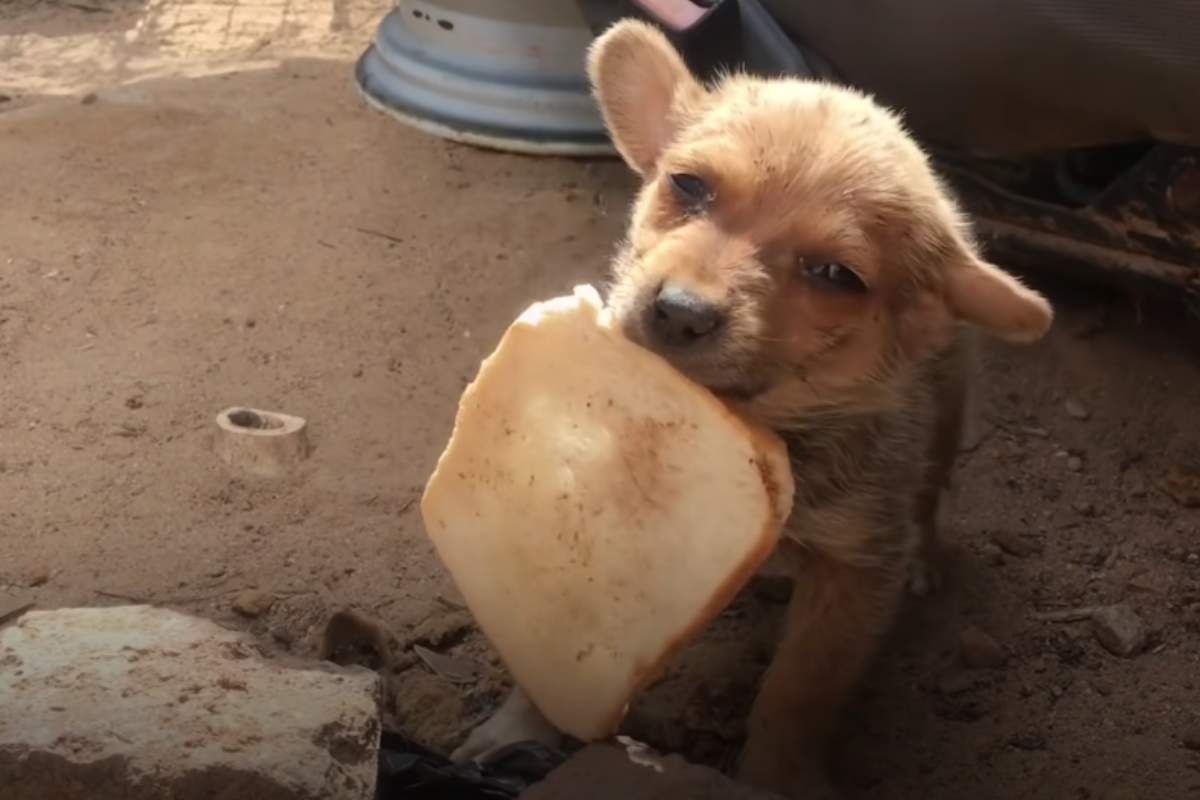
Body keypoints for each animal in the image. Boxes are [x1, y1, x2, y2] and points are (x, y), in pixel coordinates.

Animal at [451, 20, 1051, 800]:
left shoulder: (854, 571)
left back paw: (927, 558)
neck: (765, 423)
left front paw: (777, 775)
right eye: (688, 186)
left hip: (946, 418)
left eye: (835, 276)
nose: (680, 312)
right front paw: (521, 725)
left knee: (929, 492)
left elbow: (797, 692)